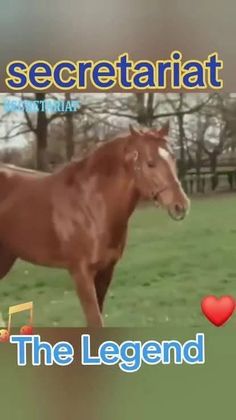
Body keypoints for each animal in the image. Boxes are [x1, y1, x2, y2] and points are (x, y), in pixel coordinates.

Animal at [0, 123, 190, 326]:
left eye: (173, 158)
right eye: (150, 163)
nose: (181, 205)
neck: (90, 205)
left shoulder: (106, 271)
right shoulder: (81, 273)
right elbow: (95, 320)